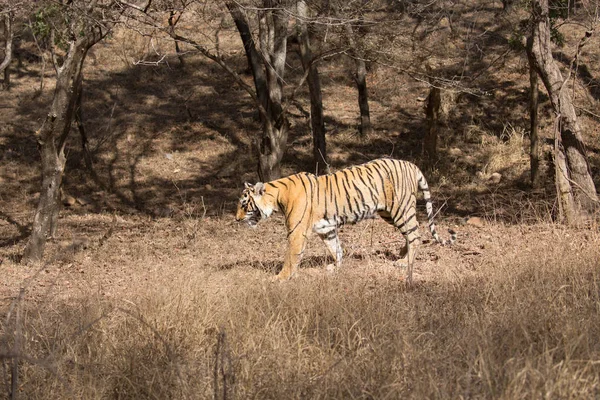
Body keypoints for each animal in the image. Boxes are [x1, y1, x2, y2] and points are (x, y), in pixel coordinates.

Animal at [234, 158, 454, 282]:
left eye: (244, 204)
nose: (236, 219)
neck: (278, 196)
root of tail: (411, 164)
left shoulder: (297, 232)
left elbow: (291, 256)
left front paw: (280, 278)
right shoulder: (326, 229)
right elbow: (336, 248)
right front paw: (336, 267)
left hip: (401, 209)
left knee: (416, 234)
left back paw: (404, 261)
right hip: (389, 213)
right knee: (411, 233)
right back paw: (401, 253)